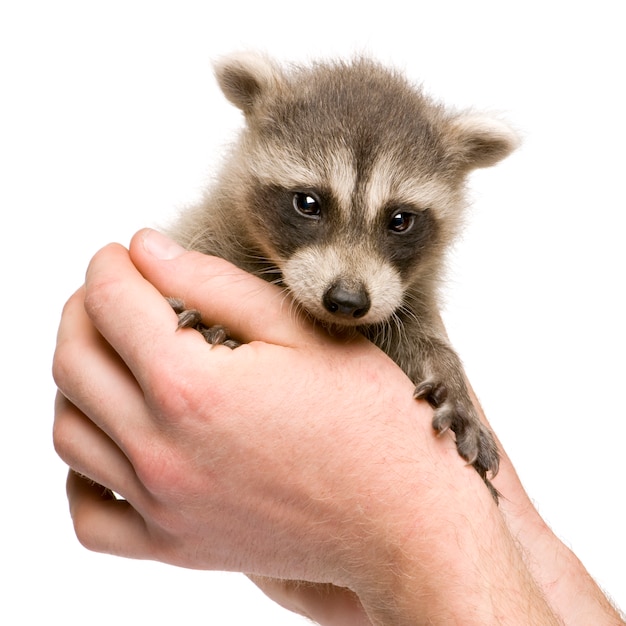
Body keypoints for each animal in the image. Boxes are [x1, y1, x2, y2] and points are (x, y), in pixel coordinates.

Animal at [171, 52, 516, 492]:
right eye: (308, 203)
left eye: (400, 220)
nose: (347, 301)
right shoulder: (208, 234)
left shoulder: (405, 290)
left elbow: (420, 335)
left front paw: (450, 379)